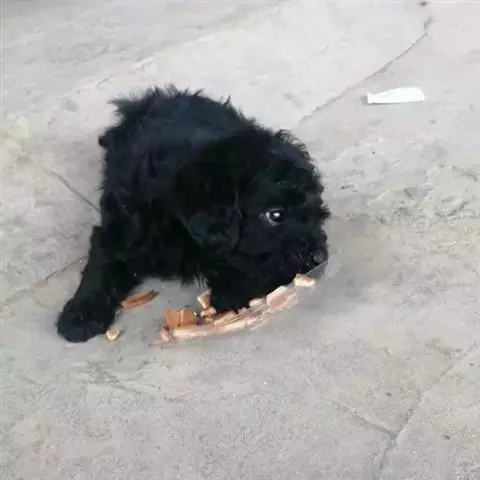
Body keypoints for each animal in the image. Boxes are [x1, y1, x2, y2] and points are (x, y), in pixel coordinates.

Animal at [56, 86, 330, 342]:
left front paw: (233, 289)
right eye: (275, 215)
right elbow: (100, 265)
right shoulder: (121, 228)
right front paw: (81, 313)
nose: (320, 258)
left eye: (318, 213)